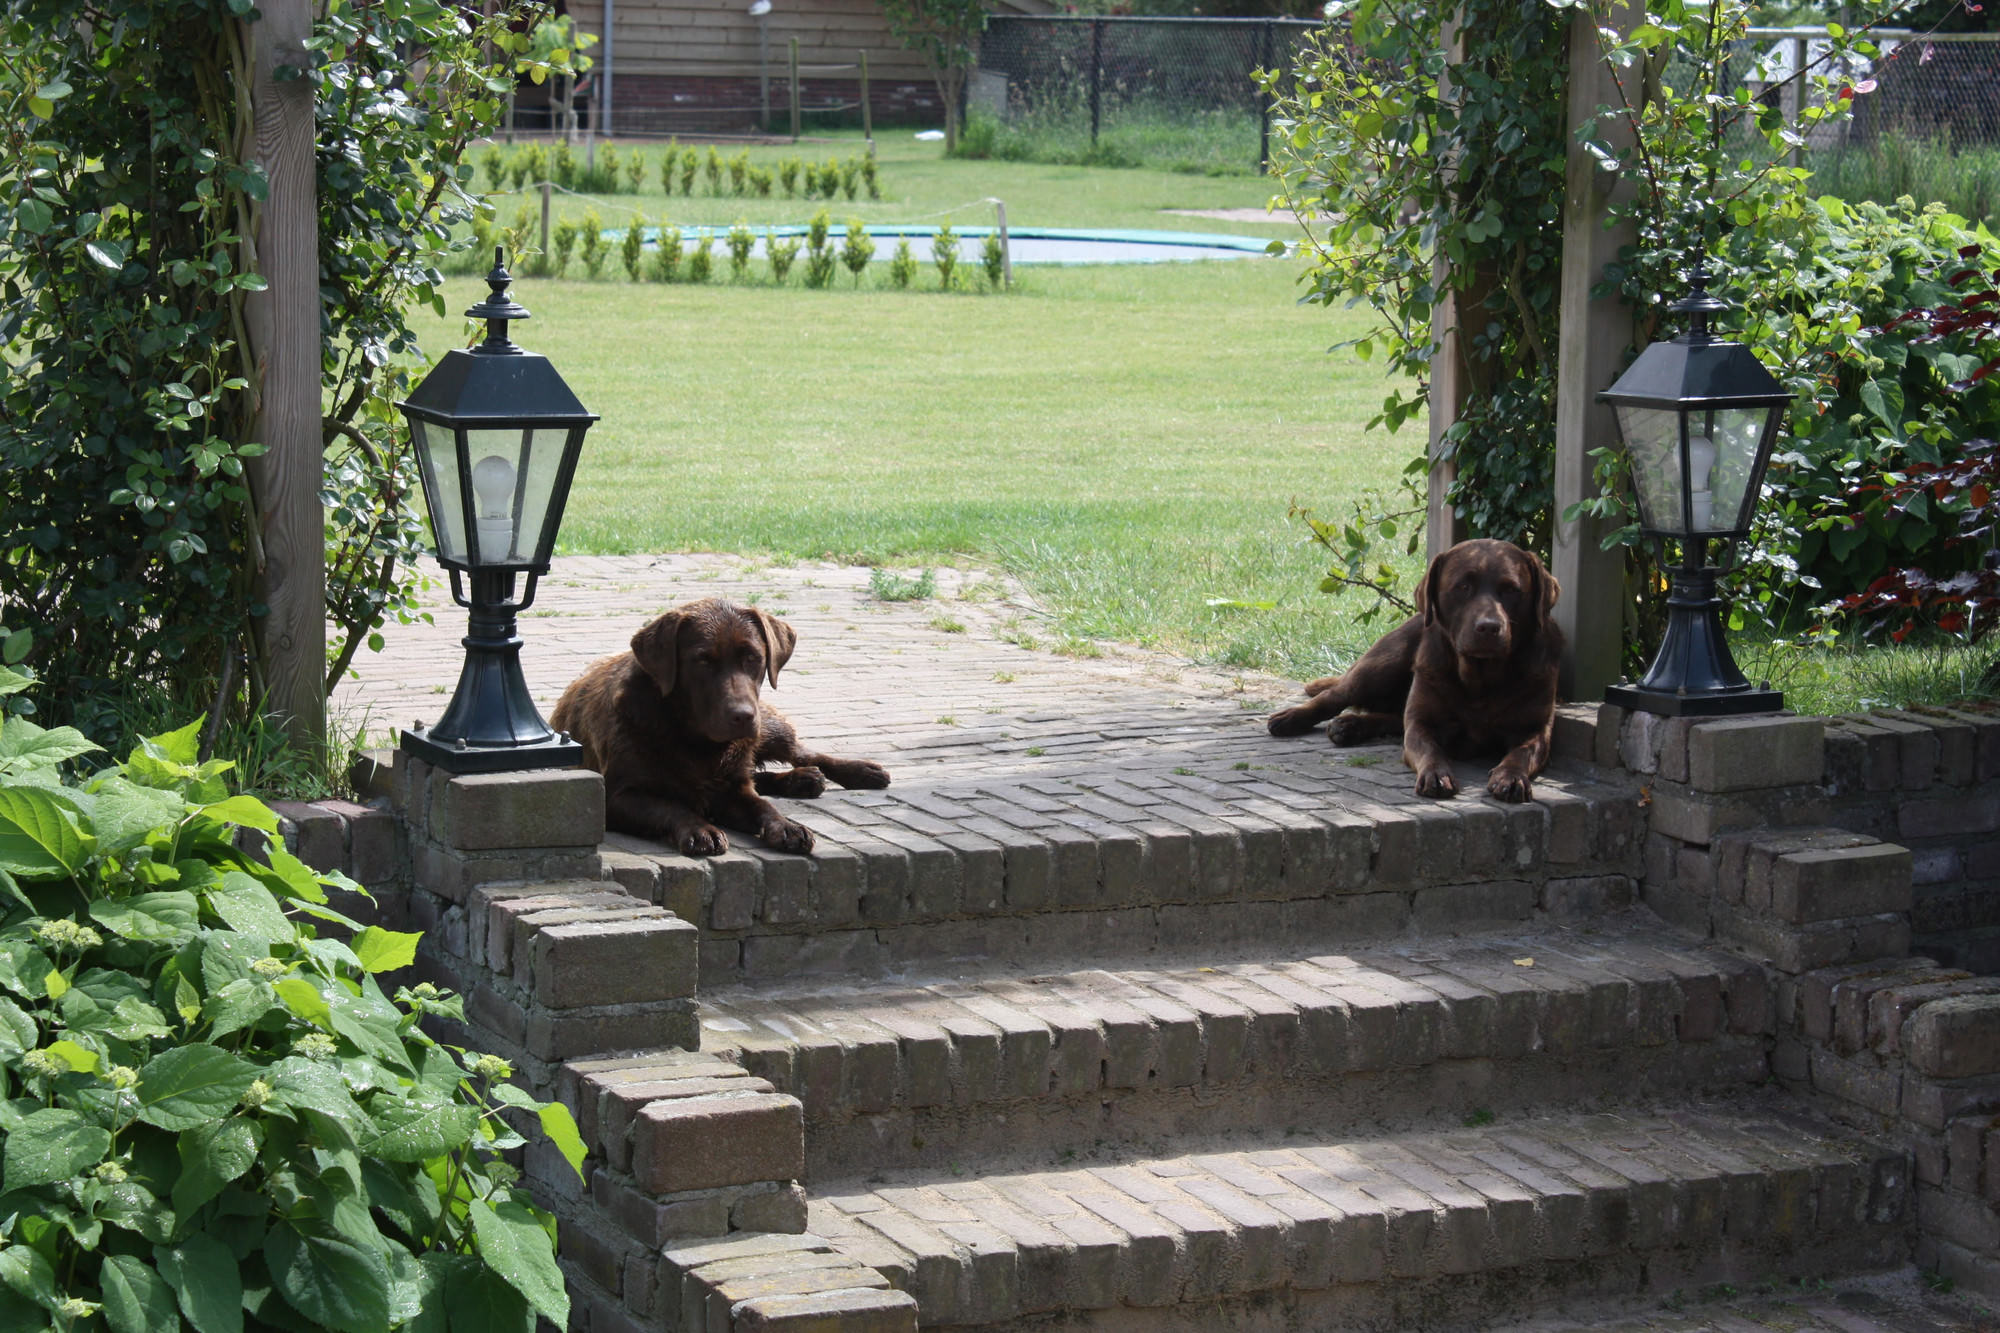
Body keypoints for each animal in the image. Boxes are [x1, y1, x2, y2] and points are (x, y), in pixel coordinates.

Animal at [552, 596, 888, 856]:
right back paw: (802, 779)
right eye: (702, 661)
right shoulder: (615, 796)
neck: (692, 739)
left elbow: (762, 806)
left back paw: (858, 771)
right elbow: (672, 806)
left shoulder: (734, 786)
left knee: (801, 754)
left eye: (753, 657)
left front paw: (787, 826)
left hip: (767, 730)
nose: (743, 715)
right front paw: (701, 829)